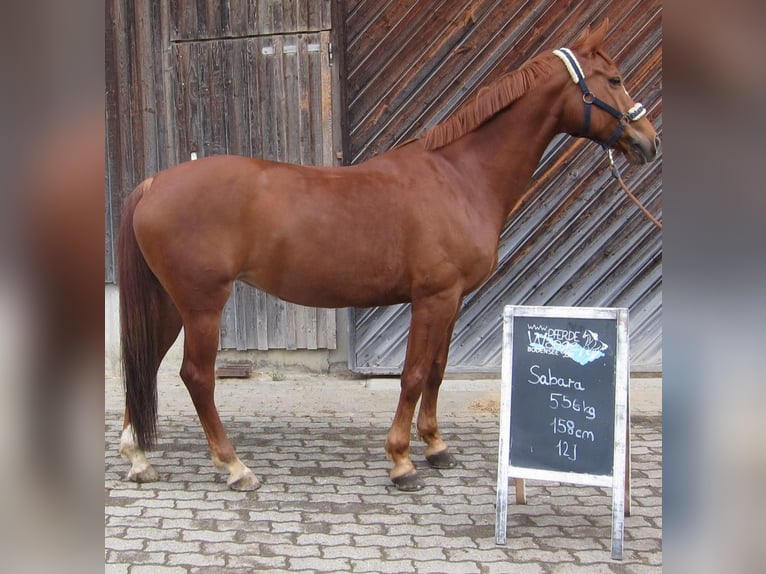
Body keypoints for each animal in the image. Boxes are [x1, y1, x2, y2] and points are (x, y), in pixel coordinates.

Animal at [118, 20, 660, 492]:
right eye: (613, 79)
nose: (648, 142)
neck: (459, 175)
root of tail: (153, 183)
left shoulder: (453, 299)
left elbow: (437, 371)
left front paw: (437, 448)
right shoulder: (433, 297)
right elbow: (414, 375)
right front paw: (401, 462)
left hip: (169, 305)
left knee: (143, 363)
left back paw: (138, 458)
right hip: (202, 306)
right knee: (196, 377)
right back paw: (234, 466)